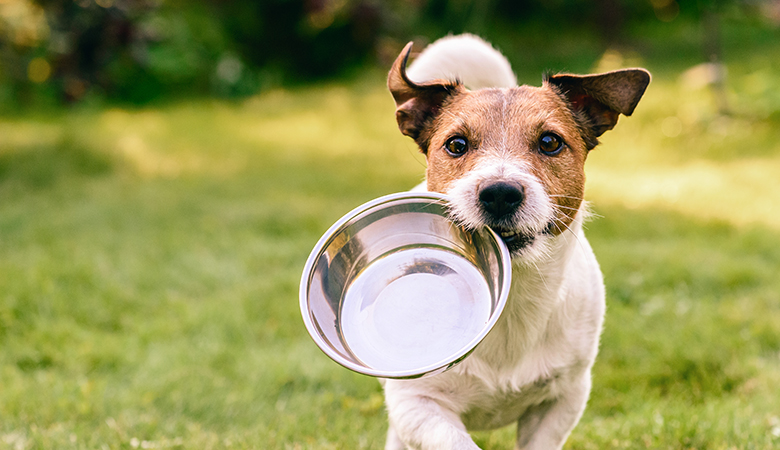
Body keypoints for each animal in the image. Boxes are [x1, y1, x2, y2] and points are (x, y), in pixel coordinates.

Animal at [380, 35, 648, 450]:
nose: (500, 193)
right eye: (456, 145)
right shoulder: (417, 403)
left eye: (550, 142)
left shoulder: (564, 399)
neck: (513, 298)